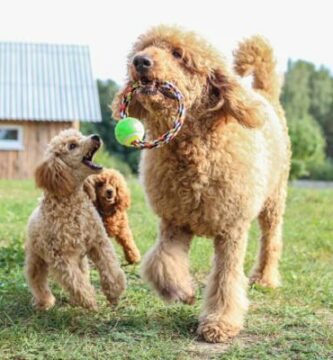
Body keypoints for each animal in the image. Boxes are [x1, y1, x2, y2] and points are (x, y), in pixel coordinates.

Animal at [25, 130, 126, 312]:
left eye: (81, 135)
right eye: (72, 146)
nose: (95, 136)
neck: (72, 202)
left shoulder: (98, 242)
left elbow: (110, 267)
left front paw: (115, 292)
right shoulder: (61, 257)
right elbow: (75, 281)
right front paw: (89, 301)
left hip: (80, 258)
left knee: (83, 272)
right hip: (36, 258)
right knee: (37, 280)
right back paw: (45, 302)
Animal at [112, 26, 290, 344]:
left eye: (178, 54)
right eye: (144, 47)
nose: (140, 61)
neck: (193, 149)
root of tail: (265, 95)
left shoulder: (232, 229)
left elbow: (226, 278)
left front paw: (220, 323)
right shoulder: (174, 221)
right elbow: (162, 261)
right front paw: (182, 291)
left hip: (274, 199)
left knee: (271, 241)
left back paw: (265, 279)